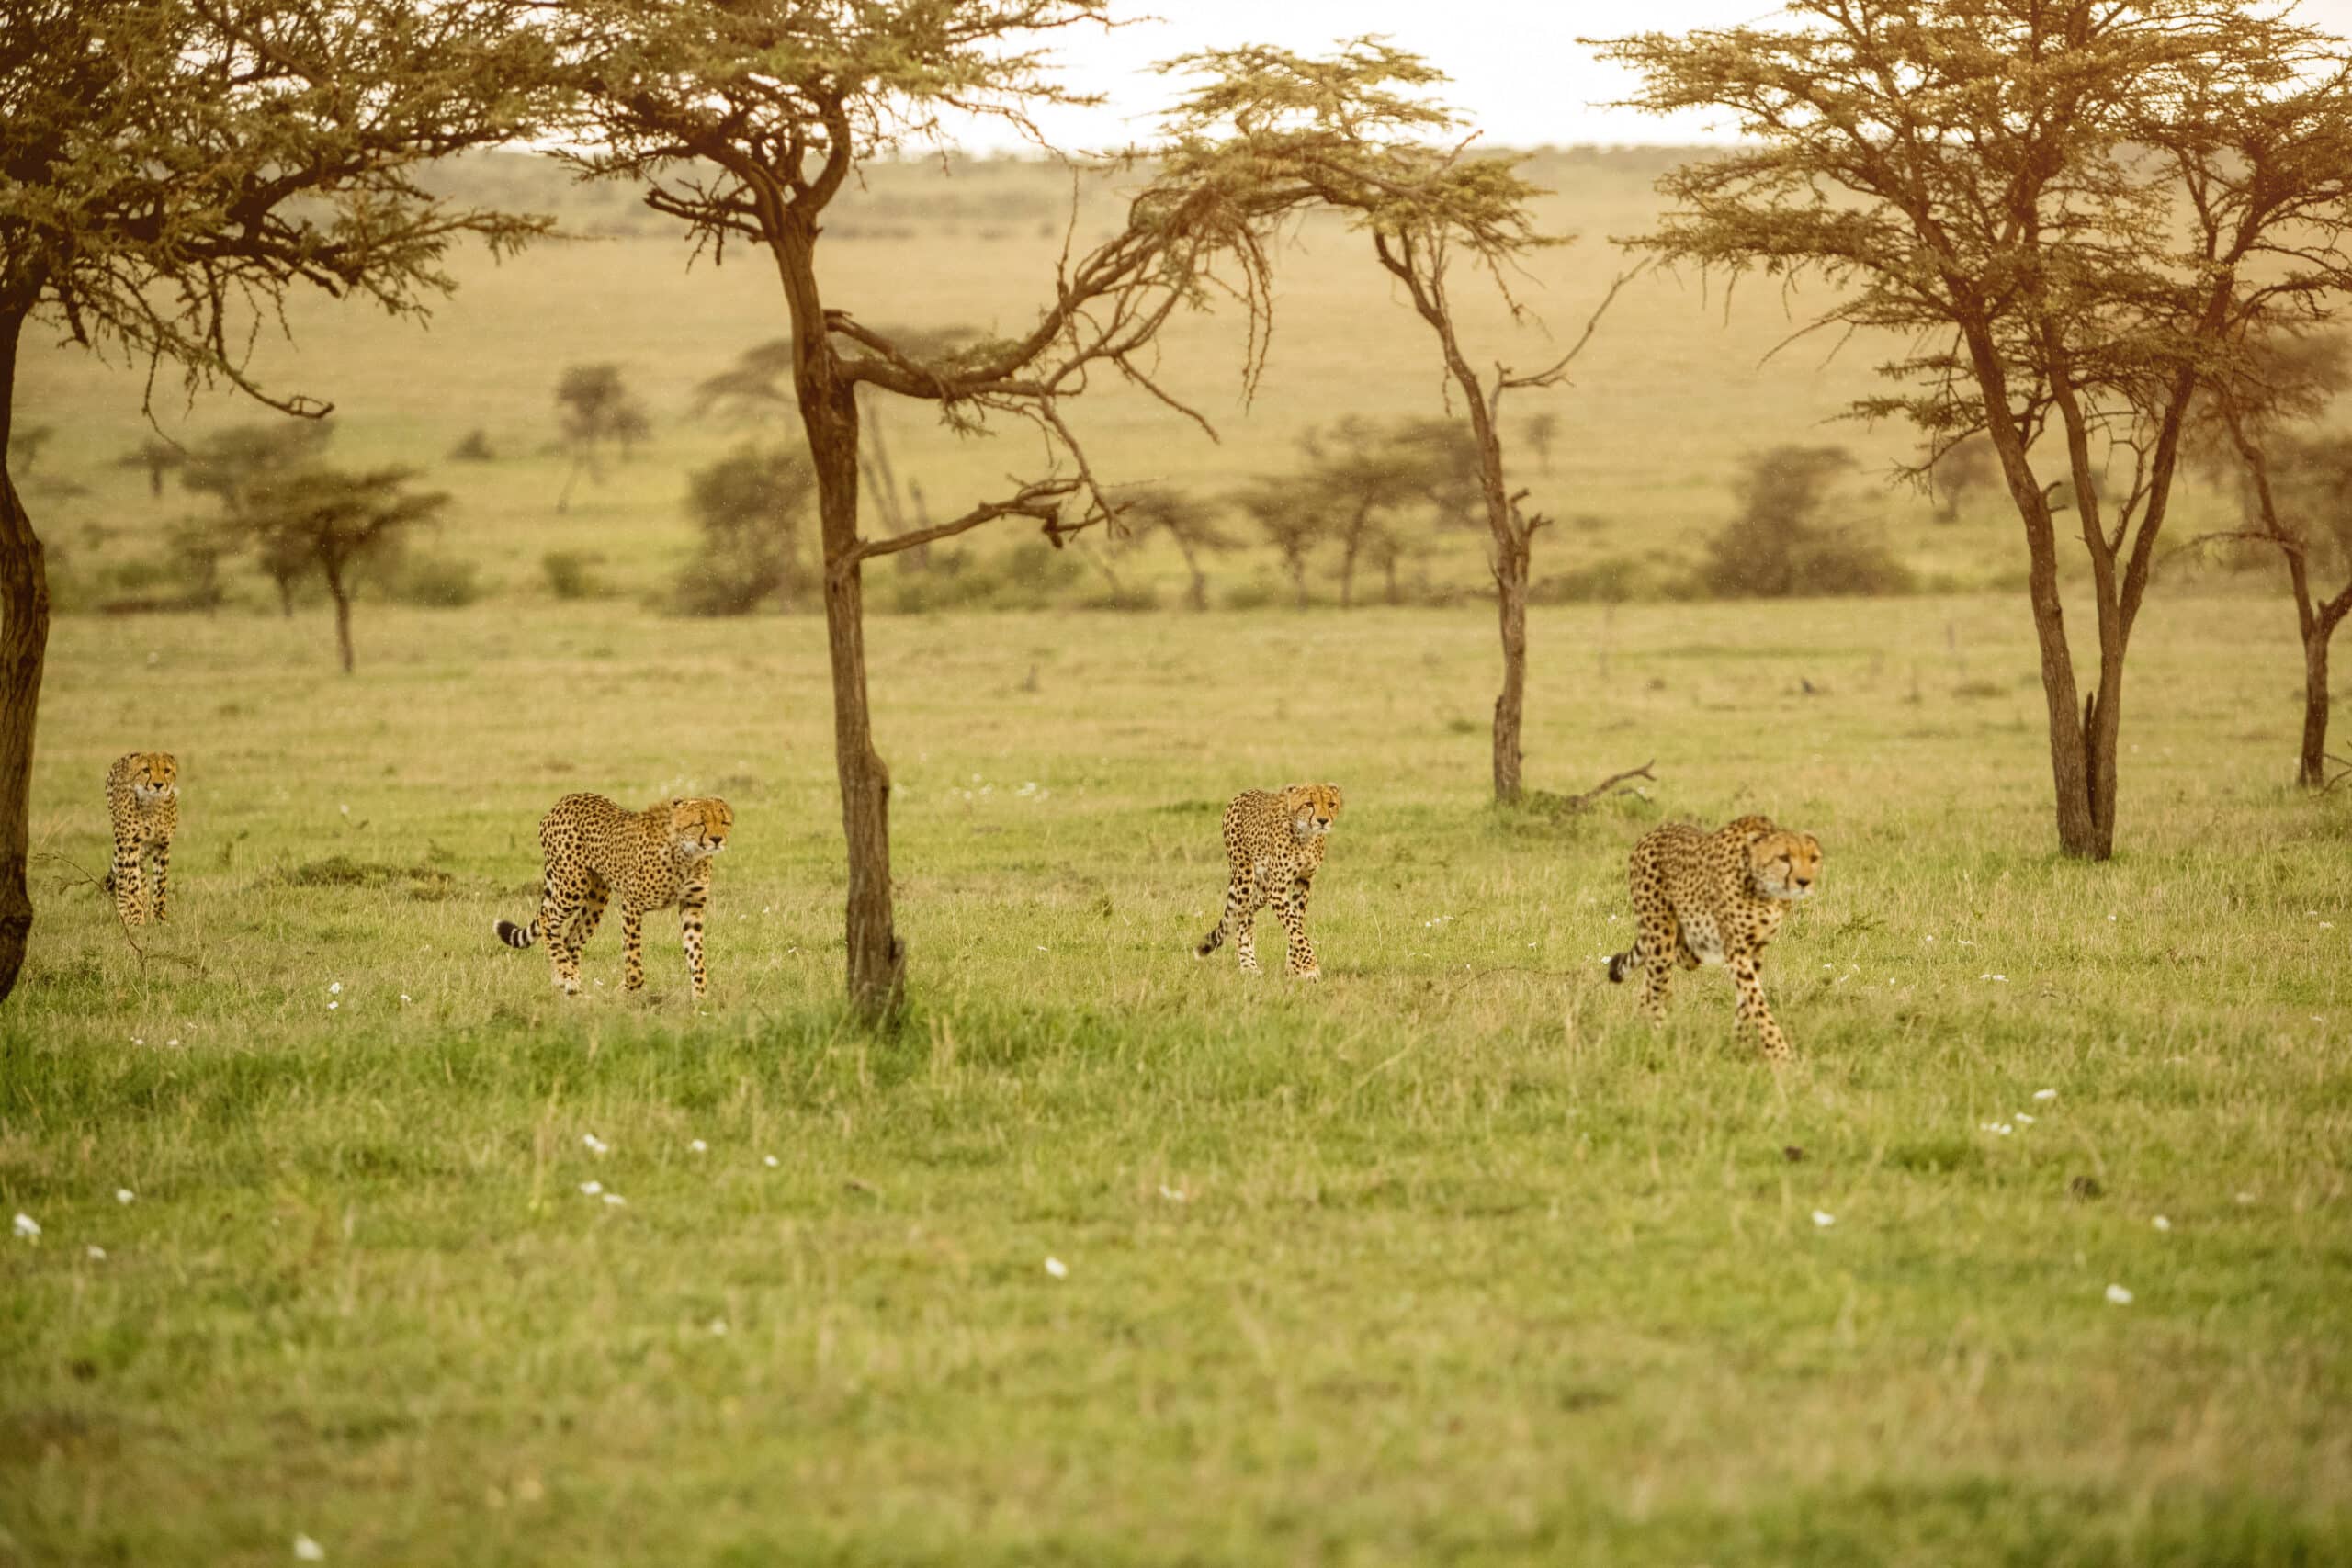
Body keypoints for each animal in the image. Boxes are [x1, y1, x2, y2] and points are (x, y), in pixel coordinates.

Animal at [103, 751, 178, 926]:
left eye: (166, 770)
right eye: (146, 770)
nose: (158, 785)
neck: (153, 804)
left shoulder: (162, 846)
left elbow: (160, 885)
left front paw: (159, 919)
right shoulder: (130, 847)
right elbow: (131, 883)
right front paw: (136, 919)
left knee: (141, 874)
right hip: (121, 842)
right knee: (123, 879)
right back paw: (126, 911)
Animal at [486, 789, 724, 1001]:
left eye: (723, 822)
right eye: (700, 823)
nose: (717, 839)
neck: (688, 854)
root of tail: (566, 799)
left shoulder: (692, 904)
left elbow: (695, 952)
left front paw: (701, 998)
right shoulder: (631, 903)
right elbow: (633, 957)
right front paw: (627, 988)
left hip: (597, 896)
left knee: (570, 938)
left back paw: (569, 987)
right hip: (573, 884)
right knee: (547, 921)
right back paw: (567, 977)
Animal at [1194, 784, 1345, 982]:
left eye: (1331, 804)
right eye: (1309, 804)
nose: (1322, 821)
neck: (1305, 834)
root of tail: (1243, 793)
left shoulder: (1303, 883)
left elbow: (1297, 924)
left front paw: (1295, 967)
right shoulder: (1278, 891)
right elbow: (1295, 929)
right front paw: (1310, 967)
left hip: (1262, 888)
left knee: (1247, 911)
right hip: (1244, 876)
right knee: (1240, 915)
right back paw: (1248, 966)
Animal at [1599, 818, 1815, 1062]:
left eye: (1813, 858)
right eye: (1784, 857)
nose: (1804, 881)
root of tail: (1652, 832)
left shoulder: (1754, 949)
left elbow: (1747, 1002)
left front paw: (1740, 1043)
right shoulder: (1737, 950)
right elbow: (1756, 1001)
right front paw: (1780, 1053)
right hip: (1662, 934)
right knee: (1657, 977)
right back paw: (1655, 1033)